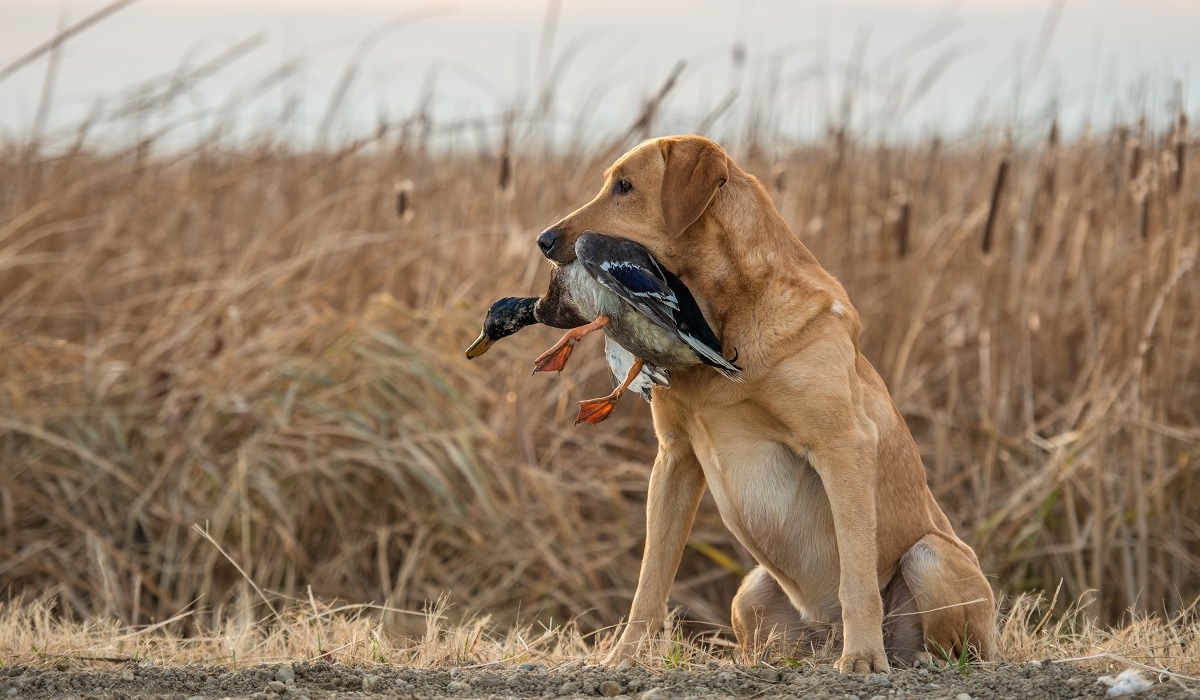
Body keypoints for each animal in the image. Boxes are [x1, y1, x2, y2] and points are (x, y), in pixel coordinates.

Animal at [540, 136, 998, 672]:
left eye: (625, 186)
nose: (543, 240)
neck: (725, 315)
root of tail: (823, 630)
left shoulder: (844, 446)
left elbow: (858, 577)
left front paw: (863, 657)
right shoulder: (675, 458)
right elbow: (650, 582)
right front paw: (623, 658)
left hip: (930, 557)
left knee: (953, 645)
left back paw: (904, 656)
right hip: (750, 595)